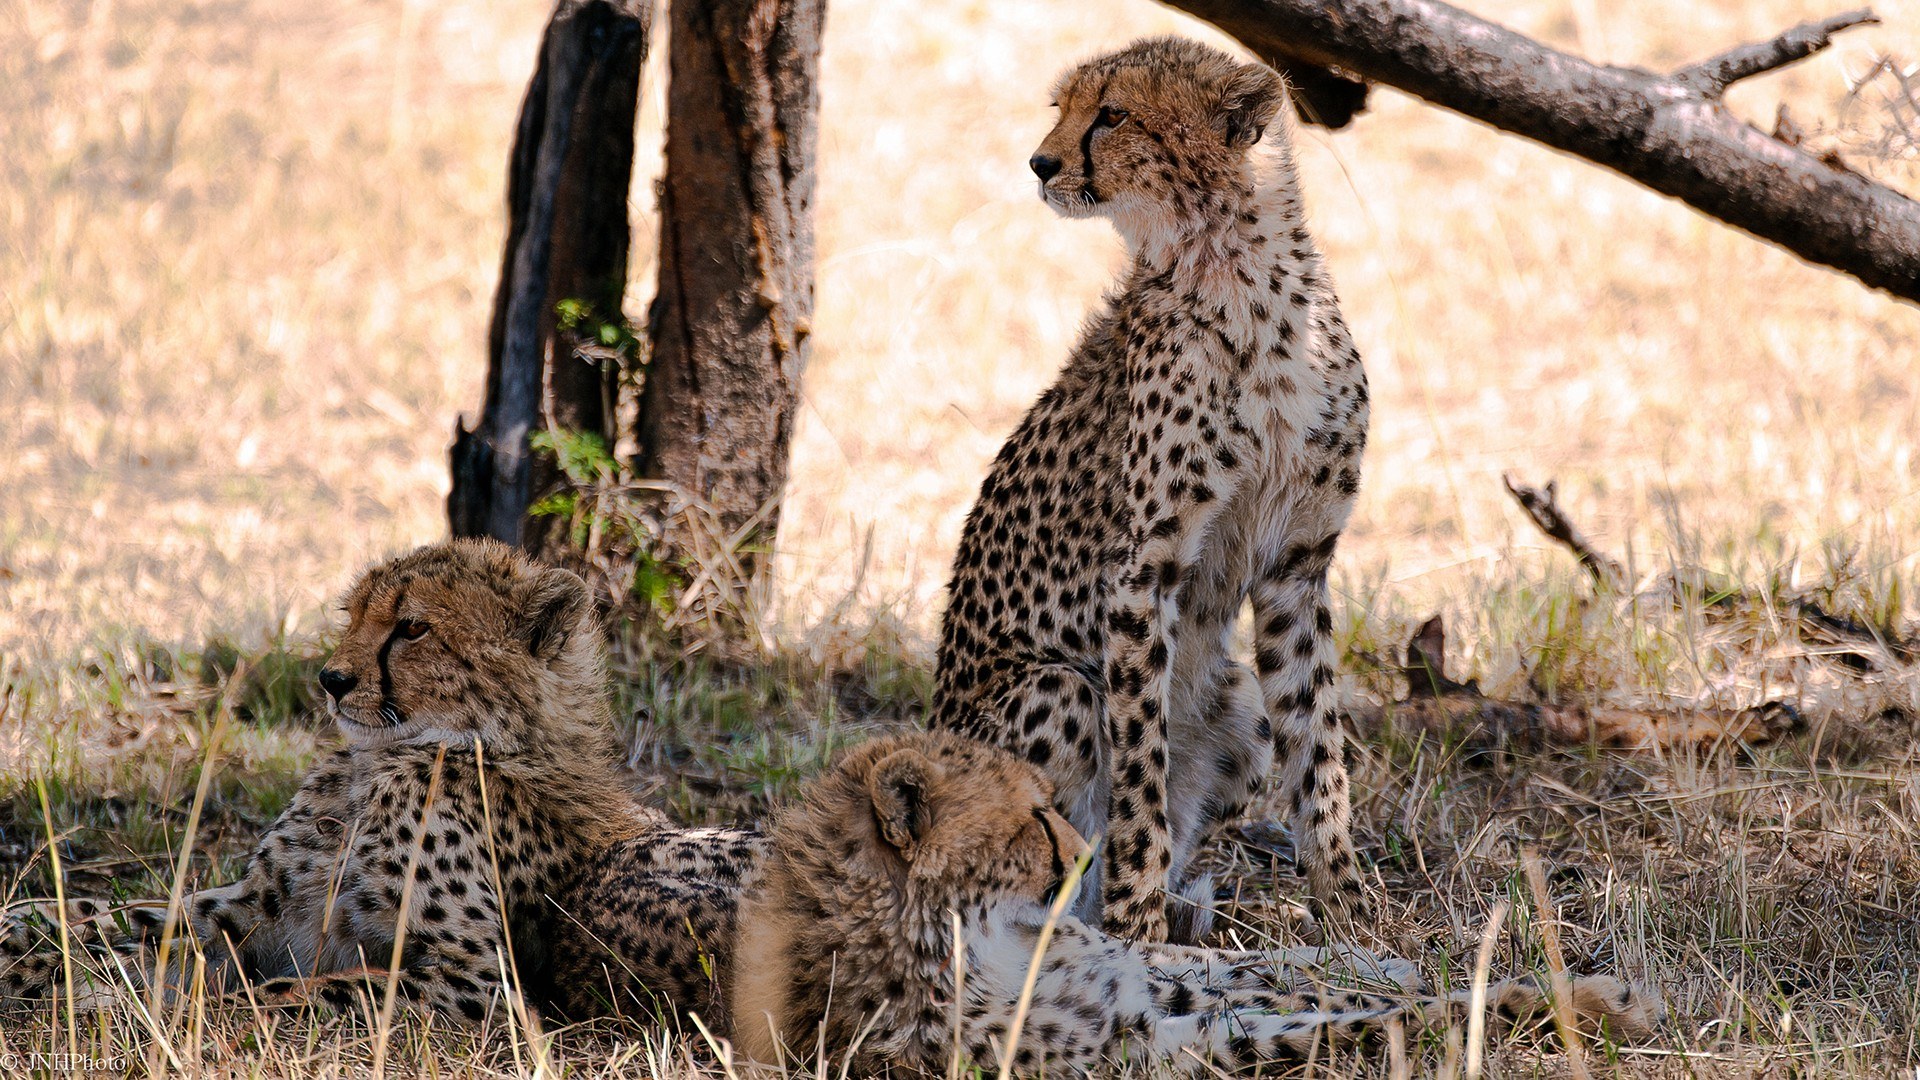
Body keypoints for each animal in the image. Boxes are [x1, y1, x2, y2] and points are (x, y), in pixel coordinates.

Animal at [0, 539, 762, 1027]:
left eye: (413, 627)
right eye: (353, 616)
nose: (331, 680)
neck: (386, 761)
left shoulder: (476, 981)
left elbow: (269, 995)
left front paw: (105, 1004)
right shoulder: (265, 910)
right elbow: (128, 914)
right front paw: (29, 931)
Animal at [730, 730, 1661, 1075]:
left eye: (1048, 802)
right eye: (1031, 820)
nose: (1086, 857)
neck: (981, 941)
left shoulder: (1129, 980)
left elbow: (1252, 963)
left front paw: (1379, 960)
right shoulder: (1140, 1049)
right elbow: (1369, 1019)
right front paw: (1592, 1004)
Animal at [932, 36, 1373, 944]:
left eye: (1114, 114)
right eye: (1062, 107)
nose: (1040, 162)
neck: (1237, 275)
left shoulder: (1298, 562)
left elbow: (1318, 742)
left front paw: (1347, 903)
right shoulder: (1144, 572)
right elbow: (1140, 764)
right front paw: (1136, 924)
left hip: (1238, 704)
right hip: (1053, 690)